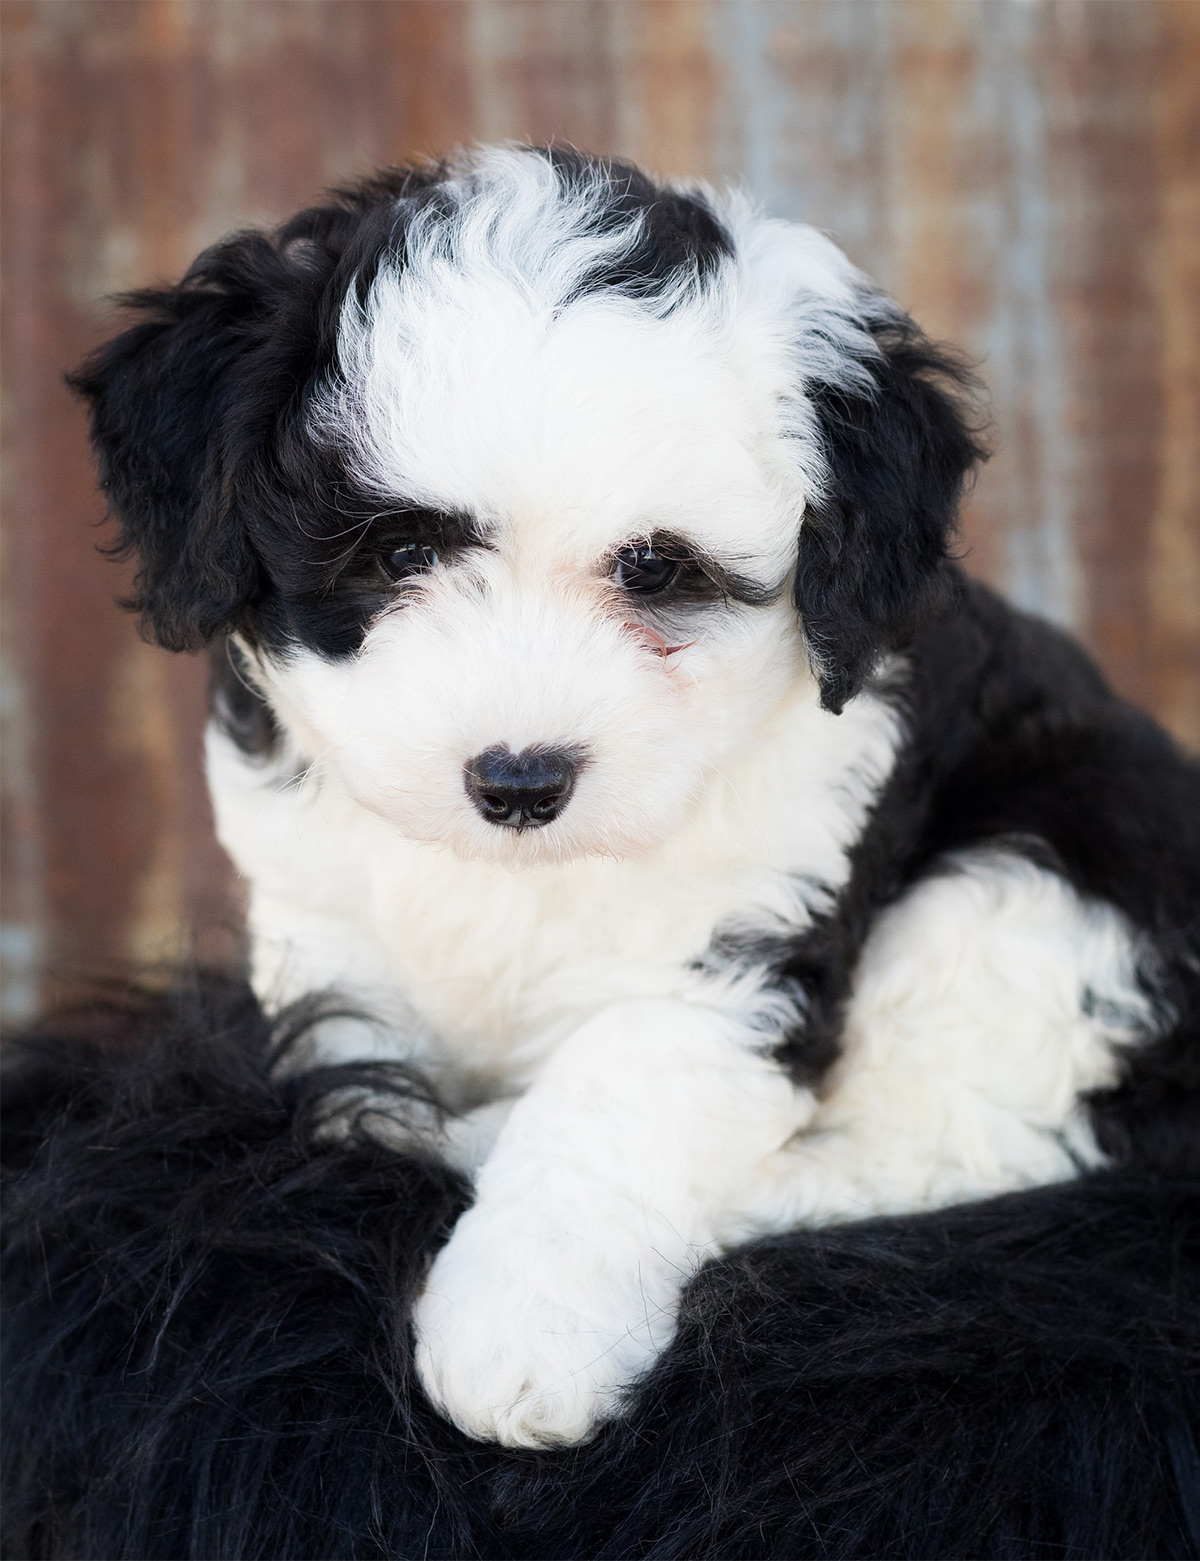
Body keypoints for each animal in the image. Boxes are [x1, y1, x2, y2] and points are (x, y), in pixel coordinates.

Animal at [74, 149, 1198, 1448]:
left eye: (655, 570)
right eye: (399, 554)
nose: (520, 779)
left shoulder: (741, 941)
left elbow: (615, 1095)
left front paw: (523, 1328)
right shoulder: (325, 926)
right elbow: (353, 1080)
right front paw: (386, 1142)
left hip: (1045, 879)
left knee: (977, 1140)